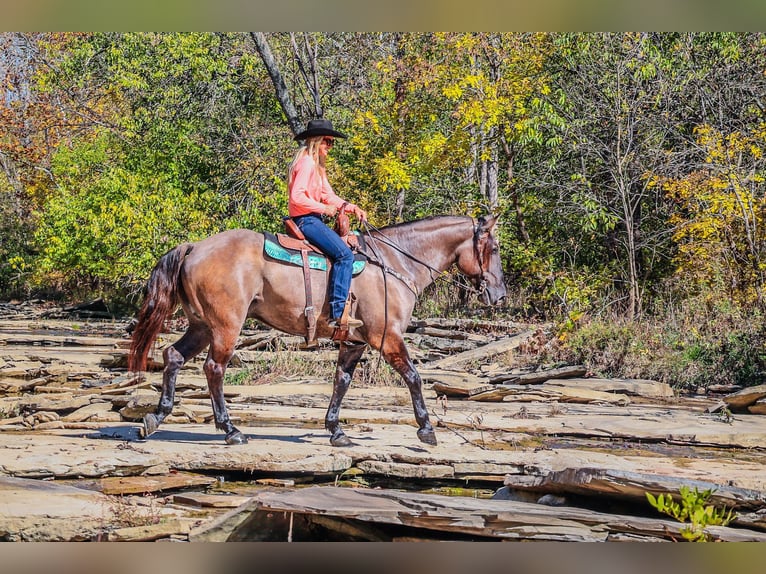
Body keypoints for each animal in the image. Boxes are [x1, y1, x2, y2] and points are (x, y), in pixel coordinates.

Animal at [128, 215, 507, 447]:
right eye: (495, 247)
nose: (499, 295)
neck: (395, 263)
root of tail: (194, 247)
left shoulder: (354, 342)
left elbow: (342, 382)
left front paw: (336, 430)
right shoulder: (386, 337)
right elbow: (413, 376)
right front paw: (426, 428)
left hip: (202, 325)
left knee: (173, 356)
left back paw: (156, 417)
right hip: (226, 326)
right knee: (214, 369)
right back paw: (231, 429)